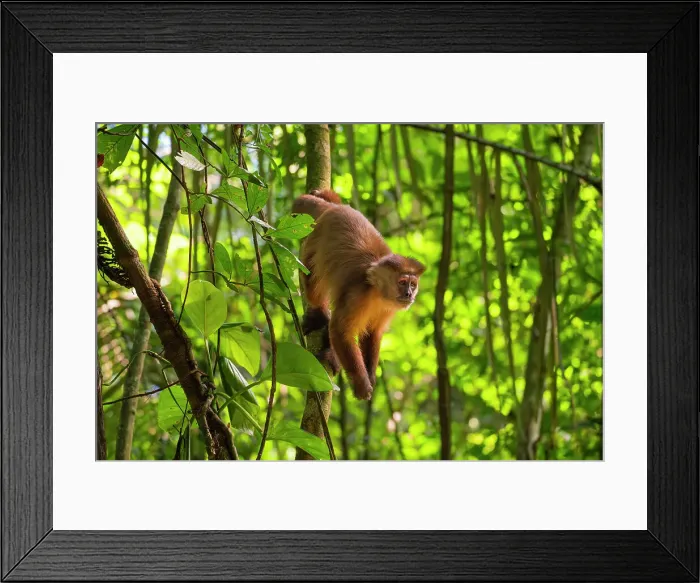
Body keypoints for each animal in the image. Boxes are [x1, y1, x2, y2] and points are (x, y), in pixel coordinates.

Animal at [292, 189, 425, 400]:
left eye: (413, 284)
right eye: (402, 283)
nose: (409, 293)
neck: (377, 293)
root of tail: (335, 210)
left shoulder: (388, 308)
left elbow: (372, 333)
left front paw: (369, 376)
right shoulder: (357, 295)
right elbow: (340, 331)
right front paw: (361, 383)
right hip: (315, 239)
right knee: (312, 275)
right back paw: (320, 316)